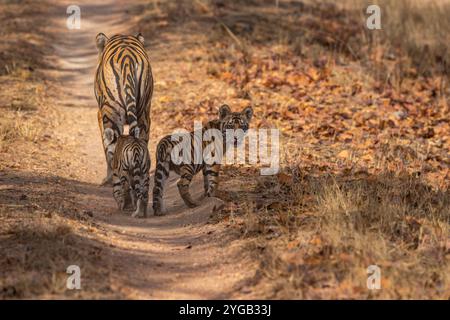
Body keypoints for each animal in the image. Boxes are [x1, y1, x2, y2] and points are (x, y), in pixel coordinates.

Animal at [94, 32, 153, 185]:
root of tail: (127, 59)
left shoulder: (100, 115)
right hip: (143, 114)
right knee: (140, 143)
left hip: (111, 114)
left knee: (112, 147)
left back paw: (113, 180)